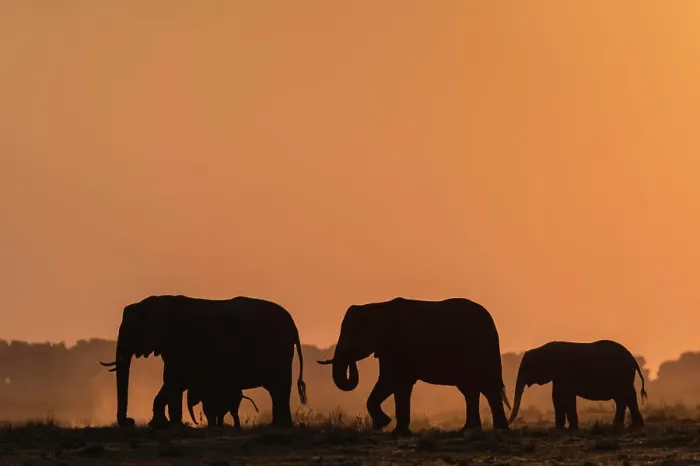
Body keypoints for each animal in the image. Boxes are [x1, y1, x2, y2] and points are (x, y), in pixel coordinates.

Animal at [99, 295, 308, 429]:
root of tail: (293, 324)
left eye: (130, 331)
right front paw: (173, 425)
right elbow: (173, 381)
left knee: (279, 388)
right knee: (277, 390)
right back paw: (280, 425)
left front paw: (159, 425)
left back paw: (280, 426)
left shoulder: (180, 343)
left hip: (277, 350)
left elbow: (174, 380)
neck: (157, 302)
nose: (130, 421)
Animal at [317, 297, 511, 436]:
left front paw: (384, 425)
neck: (378, 307)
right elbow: (397, 385)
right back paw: (475, 429)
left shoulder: (399, 345)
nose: (351, 360)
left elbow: (391, 381)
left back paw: (491, 429)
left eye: (353, 336)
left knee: (482, 387)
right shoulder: (389, 348)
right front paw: (396, 431)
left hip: (477, 352)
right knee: (475, 389)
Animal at [507, 340, 648, 430]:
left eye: (526, 367)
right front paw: (559, 428)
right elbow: (557, 396)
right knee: (623, 398)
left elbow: (567, 396)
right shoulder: (559, 376)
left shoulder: (566, 373)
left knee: (626, 396)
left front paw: (571, 428)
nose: (510, 424)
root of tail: (633, 359)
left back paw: (629, 426)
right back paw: (623, 425)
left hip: (623, 374)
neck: (543, 348)